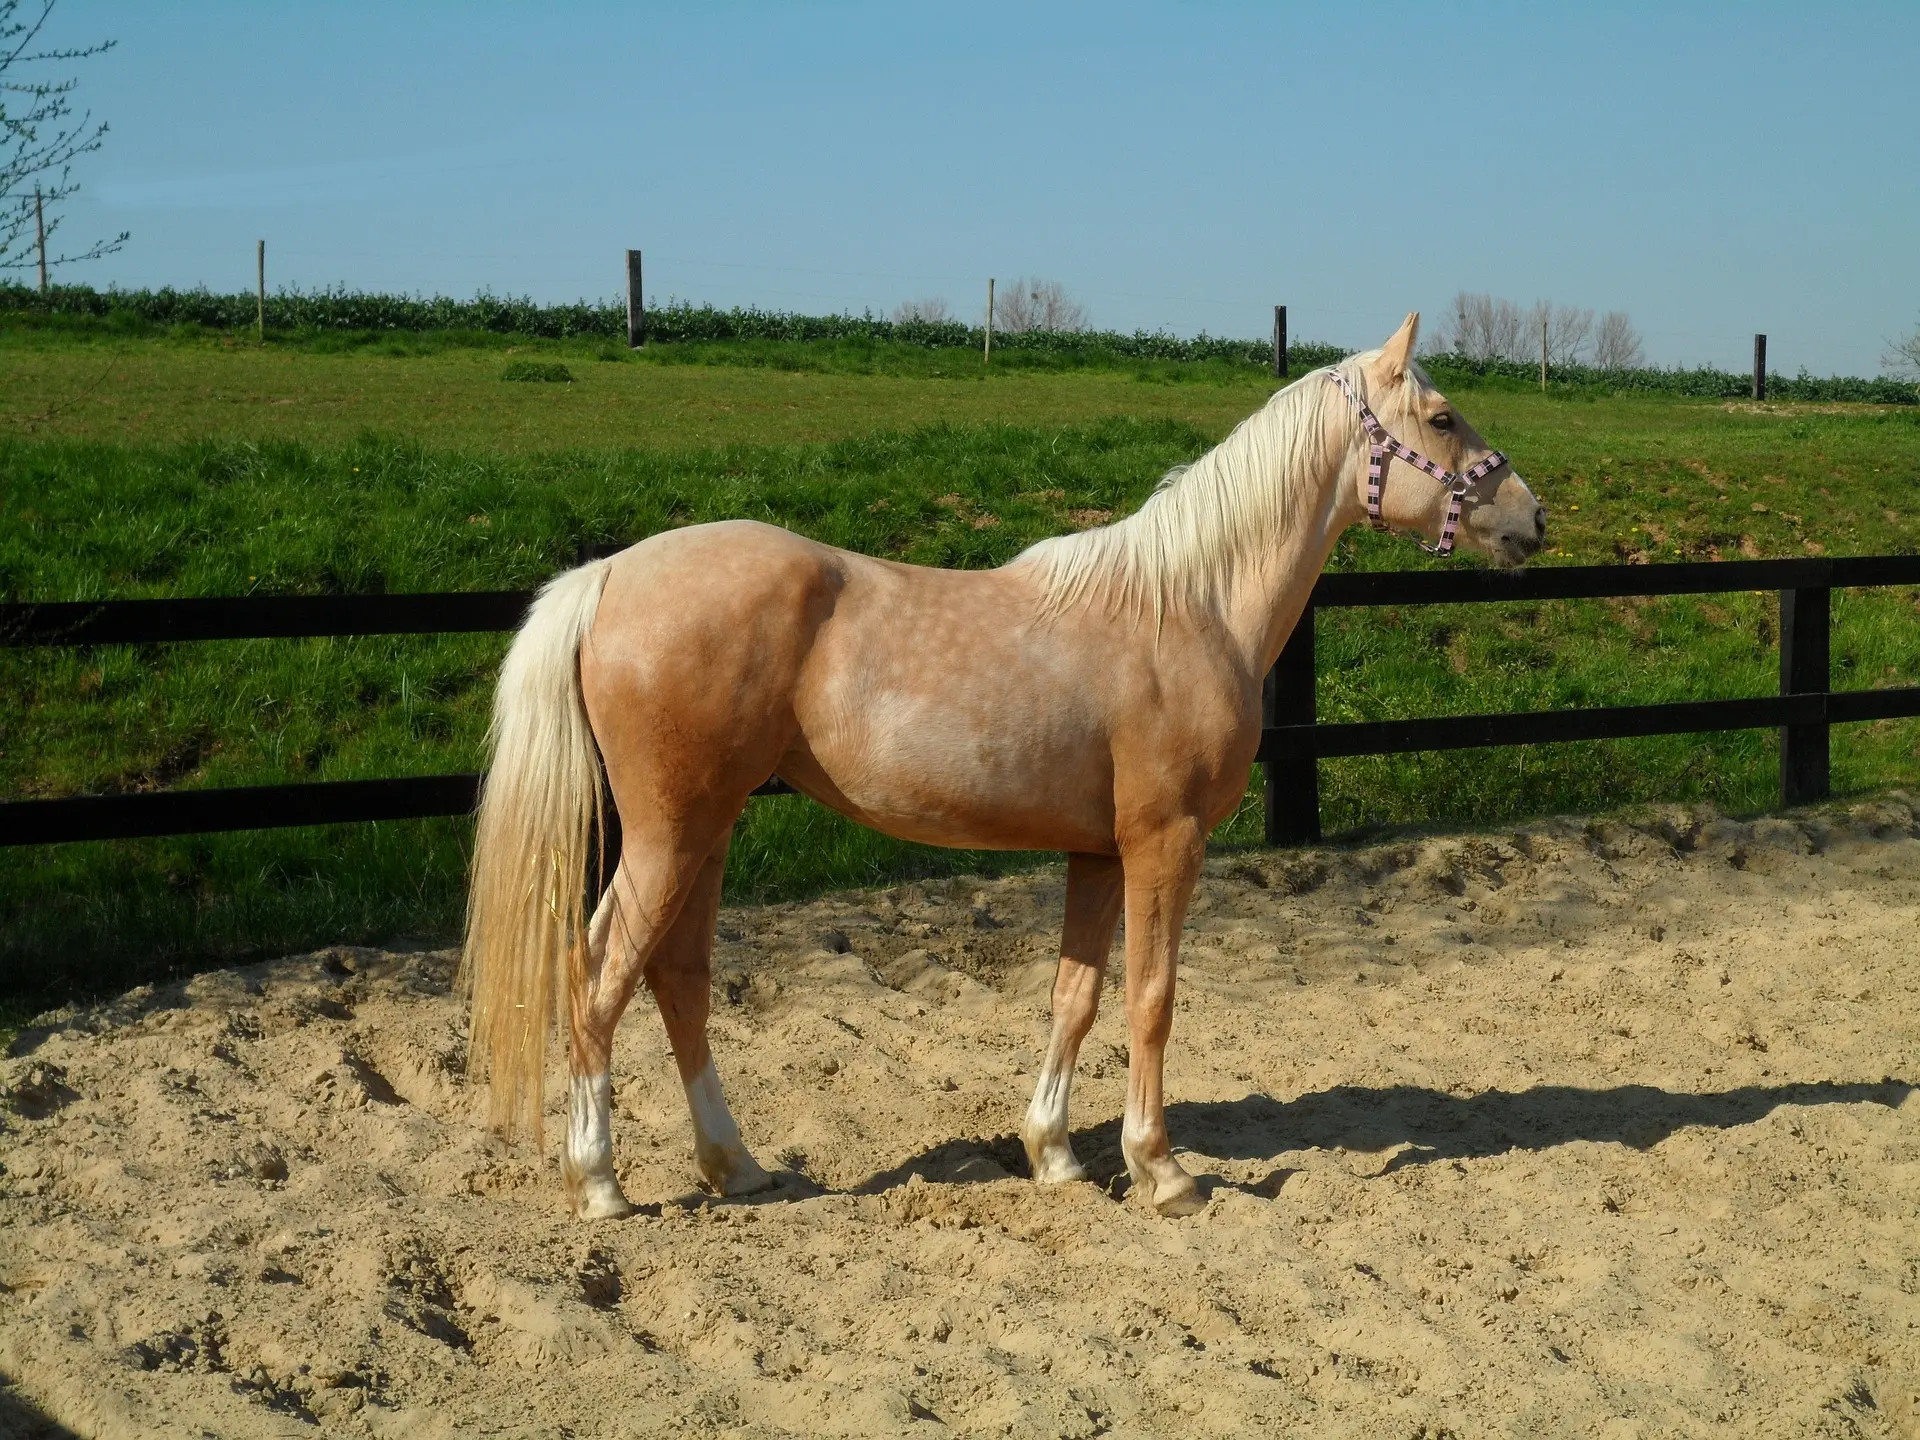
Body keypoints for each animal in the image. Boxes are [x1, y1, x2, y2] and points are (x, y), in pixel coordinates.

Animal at [460, 312, 1543, 1221]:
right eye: (1441, 416)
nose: (1531, 520)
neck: (1187, 605)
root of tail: (609, 575)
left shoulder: (1099, 854)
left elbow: (1078, 996)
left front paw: (1055, 1155)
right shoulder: (1166, 844)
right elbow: (1153, 998)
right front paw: (1162, 1171)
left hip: (709, 828)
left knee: (677, 976)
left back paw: (739, 1166)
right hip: (670, 833)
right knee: (599, 976)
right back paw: (601, 1182)